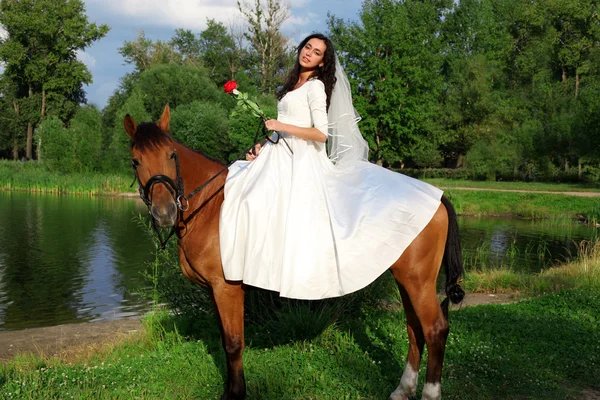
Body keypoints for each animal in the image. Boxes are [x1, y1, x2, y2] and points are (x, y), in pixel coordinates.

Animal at [125, 104, 464, 398]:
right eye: (135, 161)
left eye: (171, 154)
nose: (164, 212)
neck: (210, 208)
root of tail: (437, 196)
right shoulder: (212, 290)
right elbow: (224, 339)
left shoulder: (227, 288)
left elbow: (234, 343)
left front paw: (237, 393)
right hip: (406, 279)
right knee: (414, 328)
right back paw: (402, 389)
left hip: (418, 281)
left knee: (435, 329)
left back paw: (430, 393)